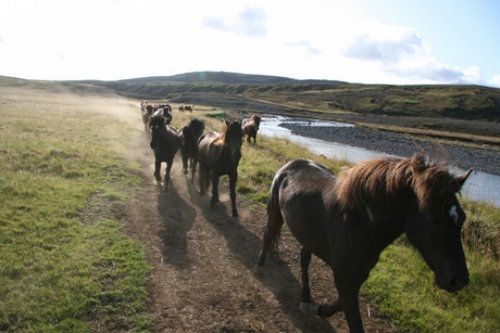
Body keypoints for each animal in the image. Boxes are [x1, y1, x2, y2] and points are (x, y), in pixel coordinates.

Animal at [258, 154, 472, 330]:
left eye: (462, 218)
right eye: (435, 219)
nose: (459, 280)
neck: (359, 223)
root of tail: (292, 164)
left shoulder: (358, 274)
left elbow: (340, 303)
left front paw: (322, 310)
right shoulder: (344, 277)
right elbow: (354, 320)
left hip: (307, 235)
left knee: (304, 260)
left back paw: (305, 297)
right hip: (276, 212)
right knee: (268, 235)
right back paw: (260, 263)